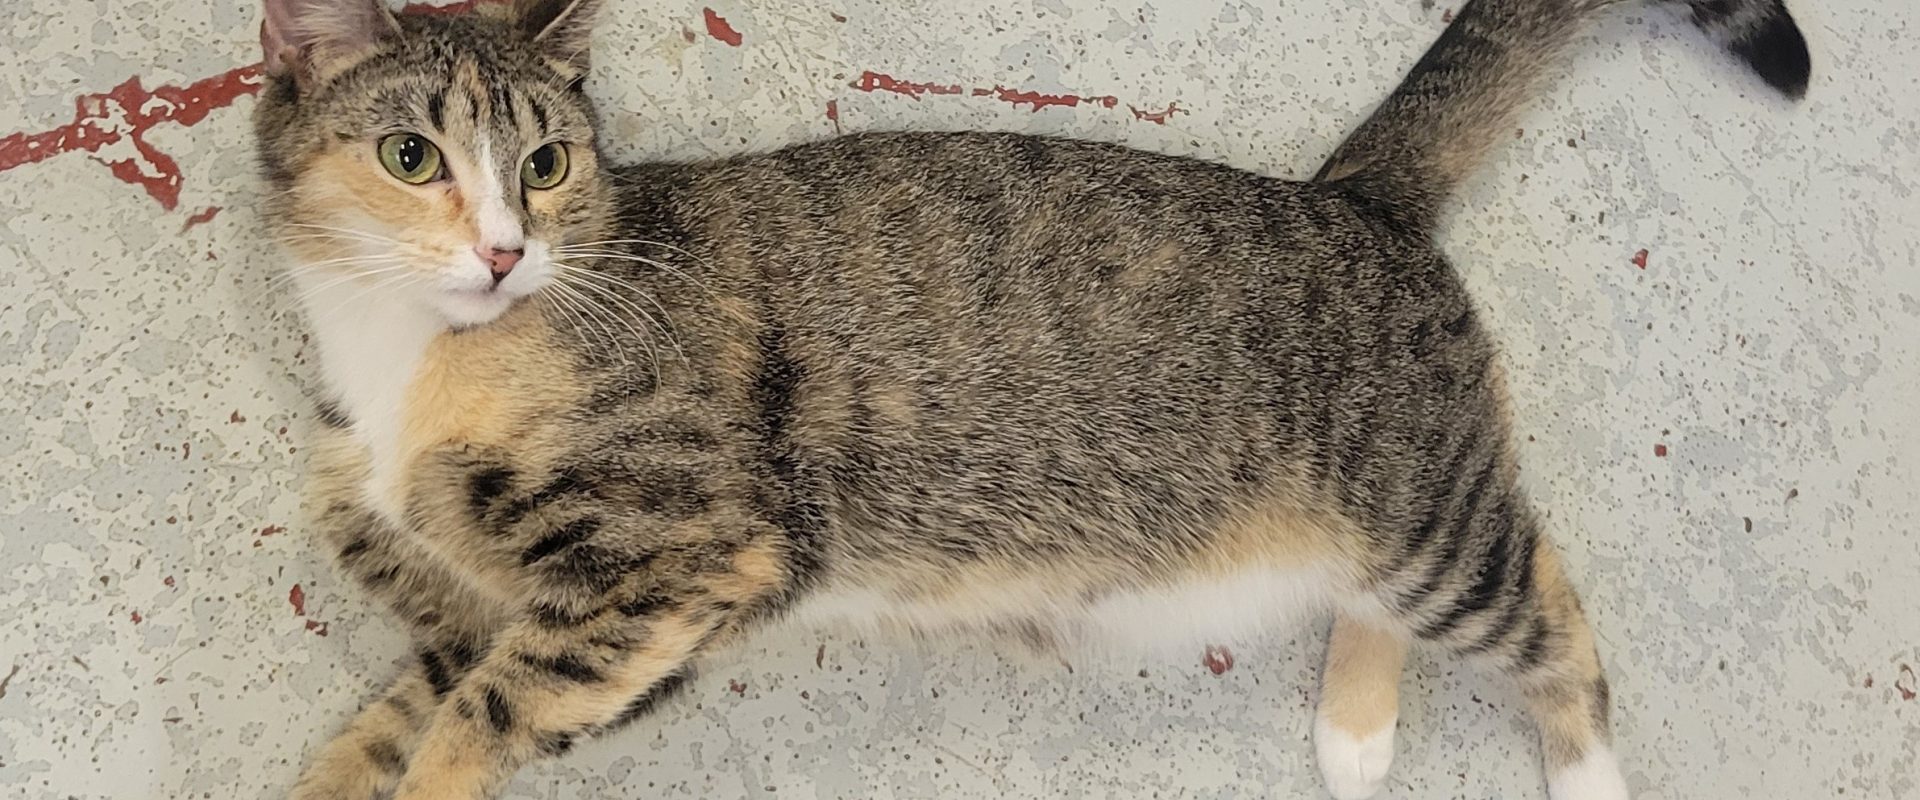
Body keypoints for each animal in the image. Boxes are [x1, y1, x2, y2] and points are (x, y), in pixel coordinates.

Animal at [251, 0, 1809, 798]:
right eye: (409, 156)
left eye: (550, 163)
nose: (504, 248)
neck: (403, 359)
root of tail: (1354, 197)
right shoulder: (496, 609)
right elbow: (398, 720)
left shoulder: (695, 560)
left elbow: (476, 724)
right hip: (1391, 531)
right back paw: (1357, 735)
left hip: (1433, 523)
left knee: (1553, 610)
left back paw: (1578, 773)